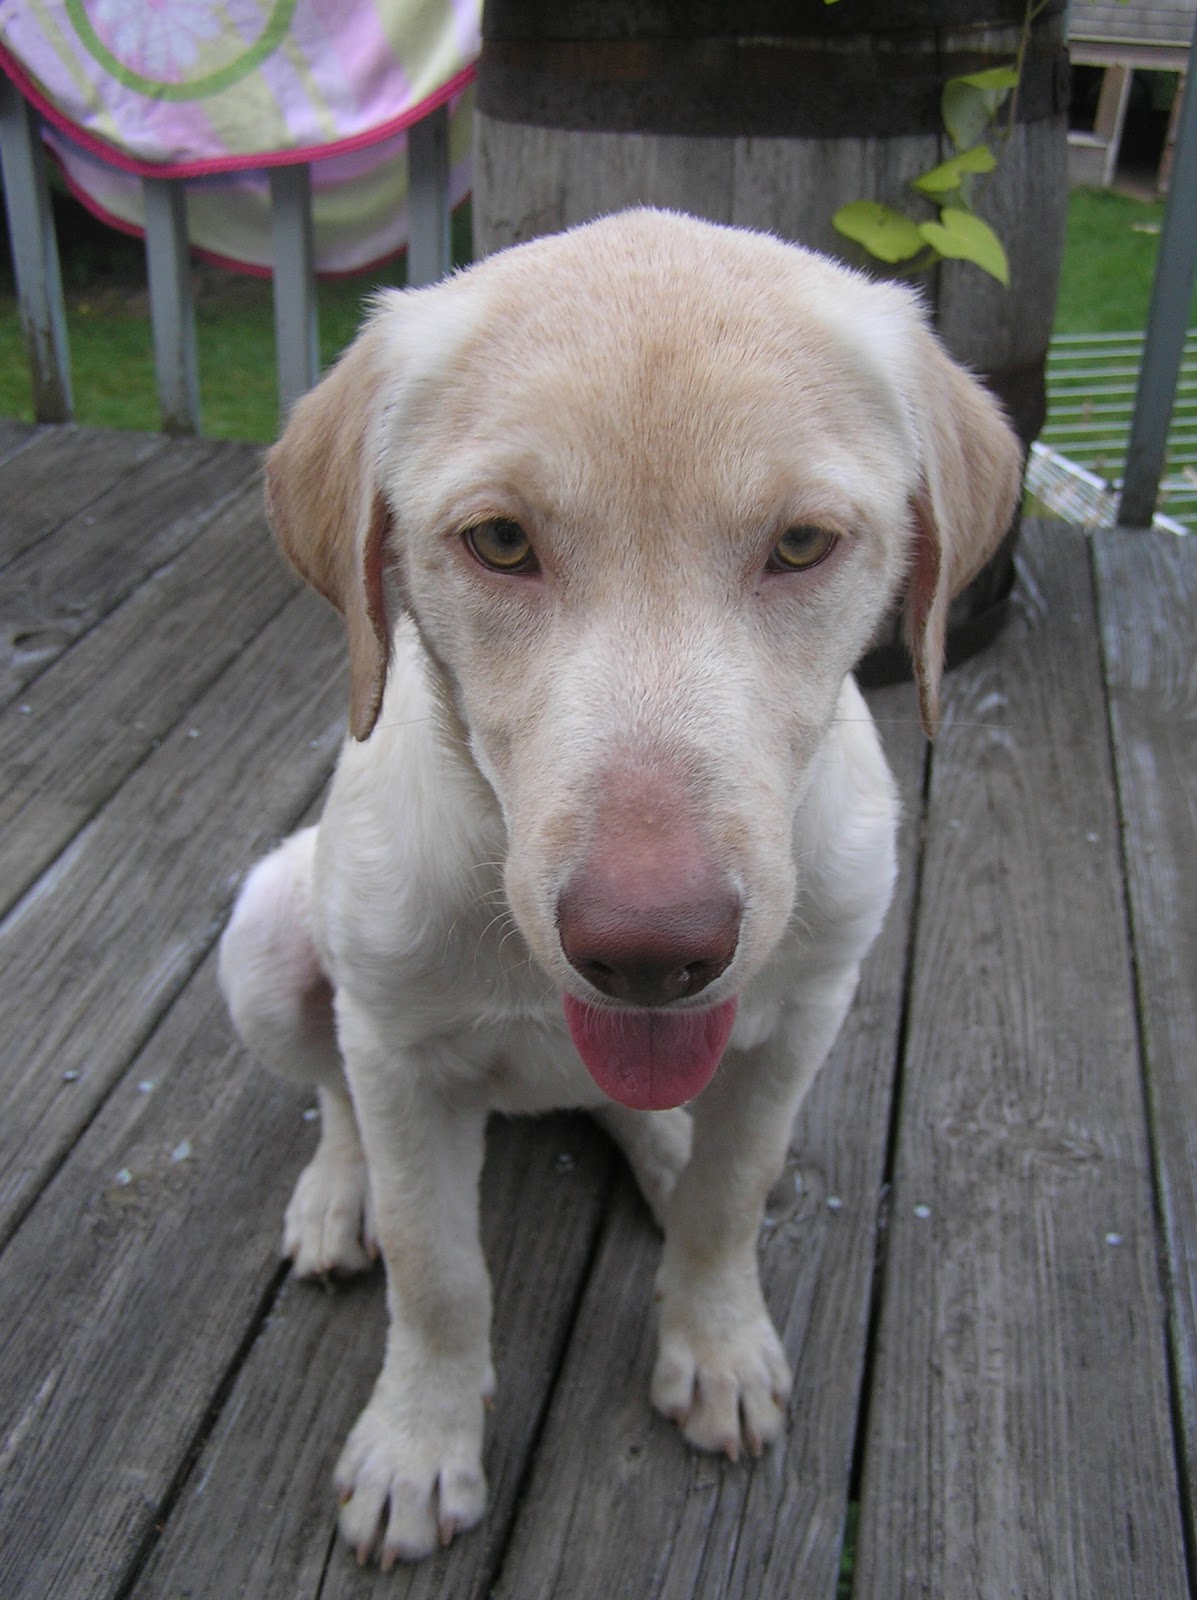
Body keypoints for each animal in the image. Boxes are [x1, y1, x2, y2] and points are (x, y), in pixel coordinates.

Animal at [217, 206, 1017, 1568]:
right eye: (500, 542)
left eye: (801, 544)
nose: (650, 951)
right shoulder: (396, 1047)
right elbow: (437, 1267)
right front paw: (418, 1441)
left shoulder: (803, 1015)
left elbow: (729, 1200)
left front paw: (719, 1345)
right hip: (270, 935)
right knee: (331, 1091)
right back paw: (337, 1195)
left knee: (638, 1116)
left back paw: (661, 1145)